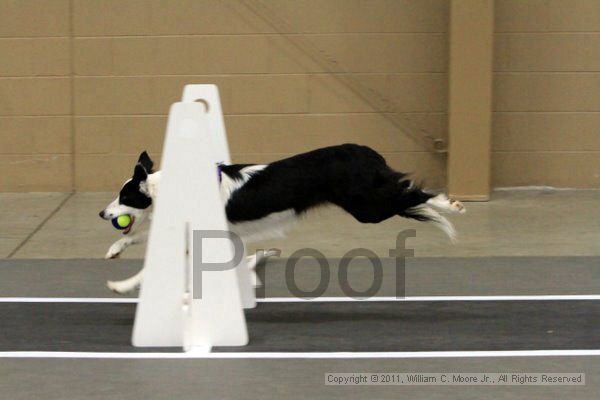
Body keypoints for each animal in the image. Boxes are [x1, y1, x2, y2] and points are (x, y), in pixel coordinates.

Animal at [99, 144, 464, 294]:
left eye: (124, 197)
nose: (102, 213)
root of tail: (368, 152)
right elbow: (140, 236)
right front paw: (115, 249)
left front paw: (121, 285)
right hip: (370, 201)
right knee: (408, 194)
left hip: (367, 208)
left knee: (413, 193)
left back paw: (451, 205)